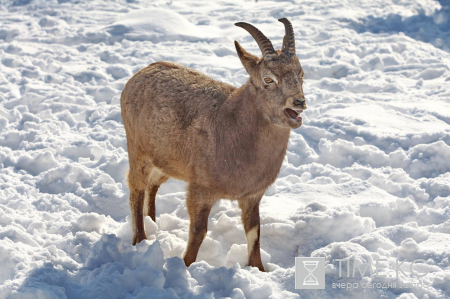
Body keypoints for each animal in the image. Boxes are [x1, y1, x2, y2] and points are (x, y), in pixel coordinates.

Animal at [119, 18, 306, 272]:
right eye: (268, 79)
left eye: (301, 74)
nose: (299, 102)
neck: (234, 127)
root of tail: (138, 74)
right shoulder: (201, 189)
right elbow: (198, 232)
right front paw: (185, 267)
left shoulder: (252, 195)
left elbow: (254, 233)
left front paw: (259, 270)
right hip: (139, 151)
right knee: (136, 189)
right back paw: (140, 239)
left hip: (167, 161)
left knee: (153, 184)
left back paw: (153, 223)